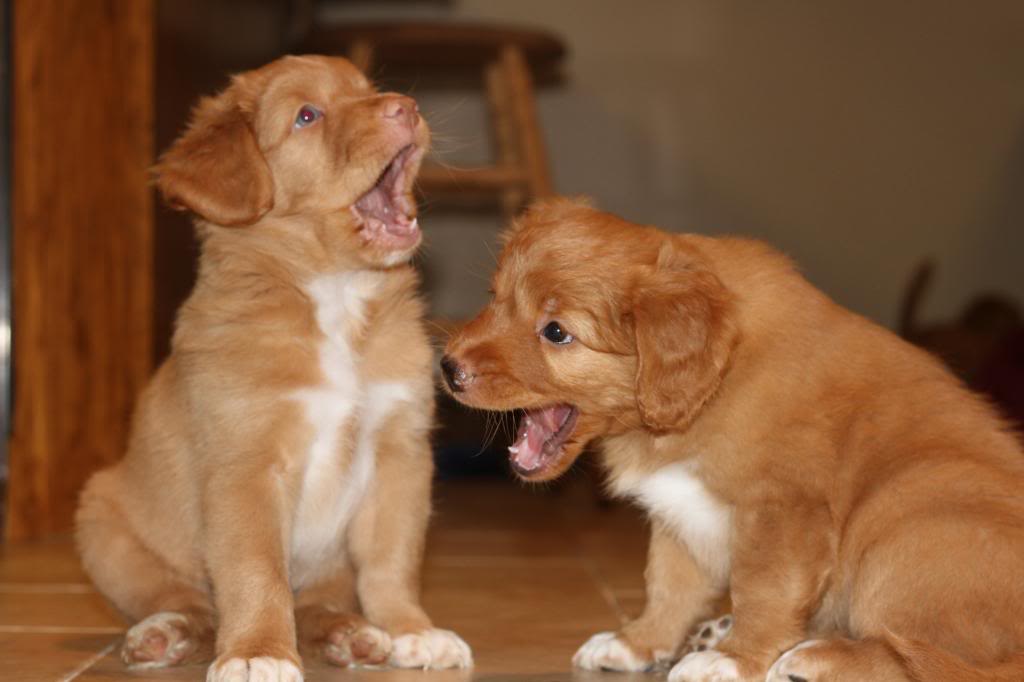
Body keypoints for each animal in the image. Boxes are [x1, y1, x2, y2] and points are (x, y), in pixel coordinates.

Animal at [74, 55, 471, 675]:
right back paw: (163, 633)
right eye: (307, 115)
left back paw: (348, 632)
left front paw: (412, 629)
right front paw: (257, 651)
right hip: (101, 519)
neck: (335, 297)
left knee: (315, 602)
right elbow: (255, 571)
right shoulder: (246, 464)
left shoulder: (400, 455)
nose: (405, 106)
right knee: (185, 600)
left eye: (367, 89)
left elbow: (393, 561)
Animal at [440, 197, 1024, 679]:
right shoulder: (679, 508)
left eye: (556, 332)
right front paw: (637, 643)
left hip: (908, 520)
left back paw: (814, 656)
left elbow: (763, 591)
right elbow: (668, 585)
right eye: (494, 299)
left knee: (931, 660)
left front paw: (735, 660)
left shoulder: (785, 515)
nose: (447, 368)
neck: (714, 389)